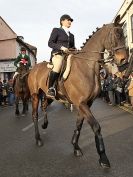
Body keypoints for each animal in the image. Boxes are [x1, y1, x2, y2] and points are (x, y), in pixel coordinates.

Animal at [27, 14, 127, 167]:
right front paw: (103, 157)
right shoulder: (81, 103)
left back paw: (45, 124)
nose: (124, 60)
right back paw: (38, 139)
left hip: (48, 96)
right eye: (116, 35)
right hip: (35, 96)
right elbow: (96, 126)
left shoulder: (86, 103)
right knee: (34, 114)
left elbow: (79, 124)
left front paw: (75, 146)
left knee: (44, 107)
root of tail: (34, 68)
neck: (86, 66)